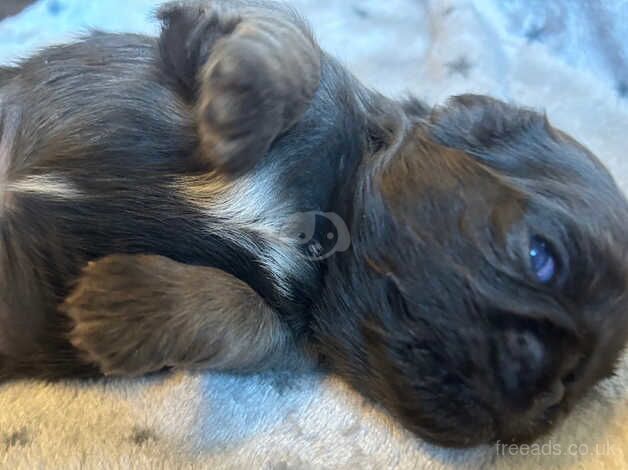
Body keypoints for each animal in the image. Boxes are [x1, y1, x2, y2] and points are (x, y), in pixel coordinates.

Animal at [1, 0, 628, 448]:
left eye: (565, 398)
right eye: (542, 257)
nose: (540, 399)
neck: (320, 230)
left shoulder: (288, 342)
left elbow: (239, 316)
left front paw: (124, 306)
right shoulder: (305, 73)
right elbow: (295, 48)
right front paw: (240, 102)